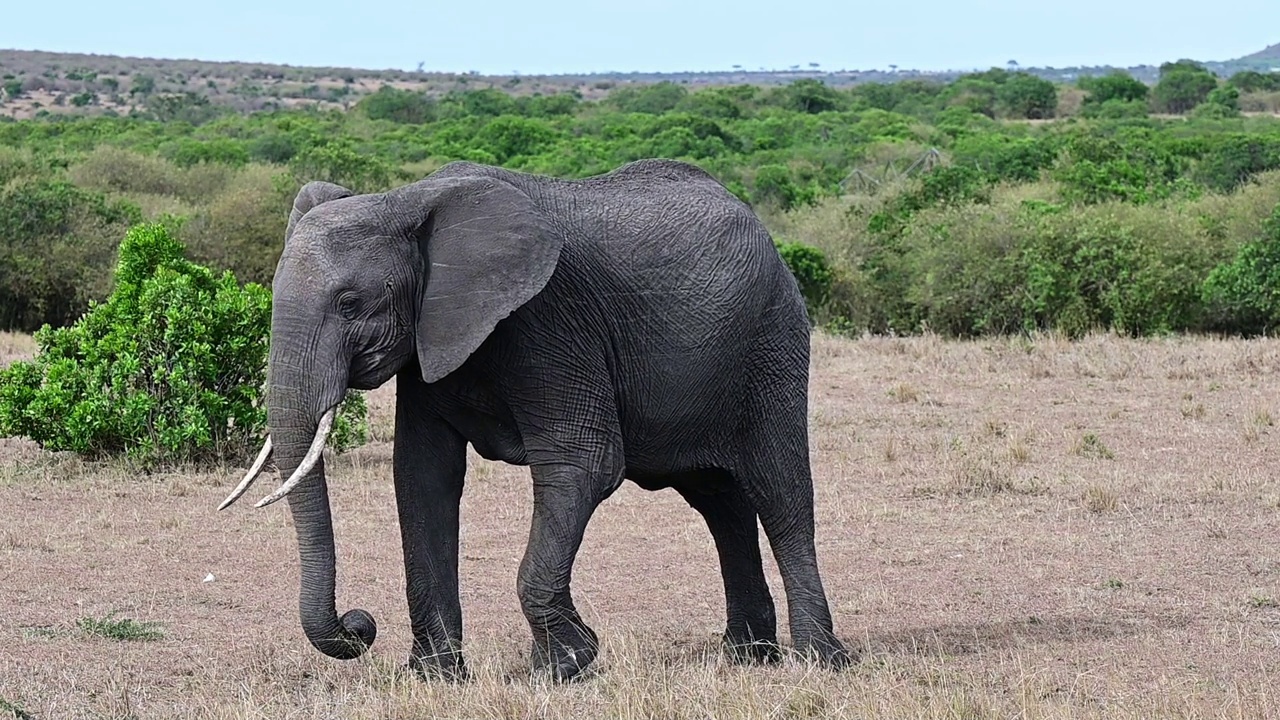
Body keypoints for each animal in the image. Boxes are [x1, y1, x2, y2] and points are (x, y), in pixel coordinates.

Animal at [217, 156, 849, 676]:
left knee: (780, 495)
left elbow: (584, 464)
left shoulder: (549, 318)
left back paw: (819, 662)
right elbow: (423, 478)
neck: (405, 203)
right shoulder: (431, 337)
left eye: (350, 304)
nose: (359, 624)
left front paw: (567, 665)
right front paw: (433, 677)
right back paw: (748, 658)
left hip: (771, 341)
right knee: (721, 503)